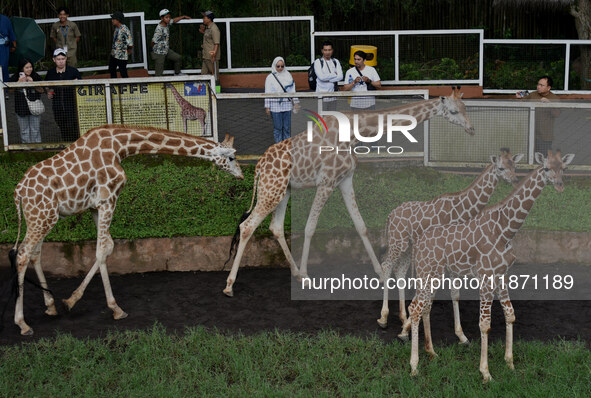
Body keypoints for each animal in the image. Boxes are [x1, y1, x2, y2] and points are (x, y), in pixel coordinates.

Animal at [8, 124, 243, 336]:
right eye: (231, 158)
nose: (241, 175)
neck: (120, 147)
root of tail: (18, 192)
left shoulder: (96, 206)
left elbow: (108, 247)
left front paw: (71, 300)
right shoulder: (108, 199)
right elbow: (101, 250)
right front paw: (116, 309)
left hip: (43, 218)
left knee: (34, 254)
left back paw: (50, 307)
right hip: (42, 217)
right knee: (22, 255)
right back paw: (22, 324)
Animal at [223, 88, 476, 298]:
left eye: (466, 108)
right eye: (454, 110)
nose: (472, 129)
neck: (355, 131)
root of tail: (258, 167)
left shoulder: (345, 179)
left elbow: (361, 225)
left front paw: (380, 273)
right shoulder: (327, 181)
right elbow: (310, 227)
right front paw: (307, 275)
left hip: (282, 191)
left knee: (275, 227)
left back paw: (294, 273)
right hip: (271, 190)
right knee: (247, 226)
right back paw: (230, 285)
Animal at [380, 148, 524, 340]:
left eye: (514, 166)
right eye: (500, 168)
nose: (514, 180)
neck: (461, 209)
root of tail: (390, 215)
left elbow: (454, 293)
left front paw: (460, 334)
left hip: (407, 246)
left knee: (400, 271)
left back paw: (403, 317)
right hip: (398, 241)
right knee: (386, 265)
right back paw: (383, 318)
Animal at [410, 150, 576, 382]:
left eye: (564, 167)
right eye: (546, 168)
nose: (560, 185)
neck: (506, 231)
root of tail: (419, 243)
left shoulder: (502, 276)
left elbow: (510, 314)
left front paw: (510, 363)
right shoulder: (486, 277)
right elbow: (485, 324)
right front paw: (486, 372)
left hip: (435, 274)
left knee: (425, 306)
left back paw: (432, 352)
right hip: (426, 272)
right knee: (415, 308)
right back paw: (414, 366)